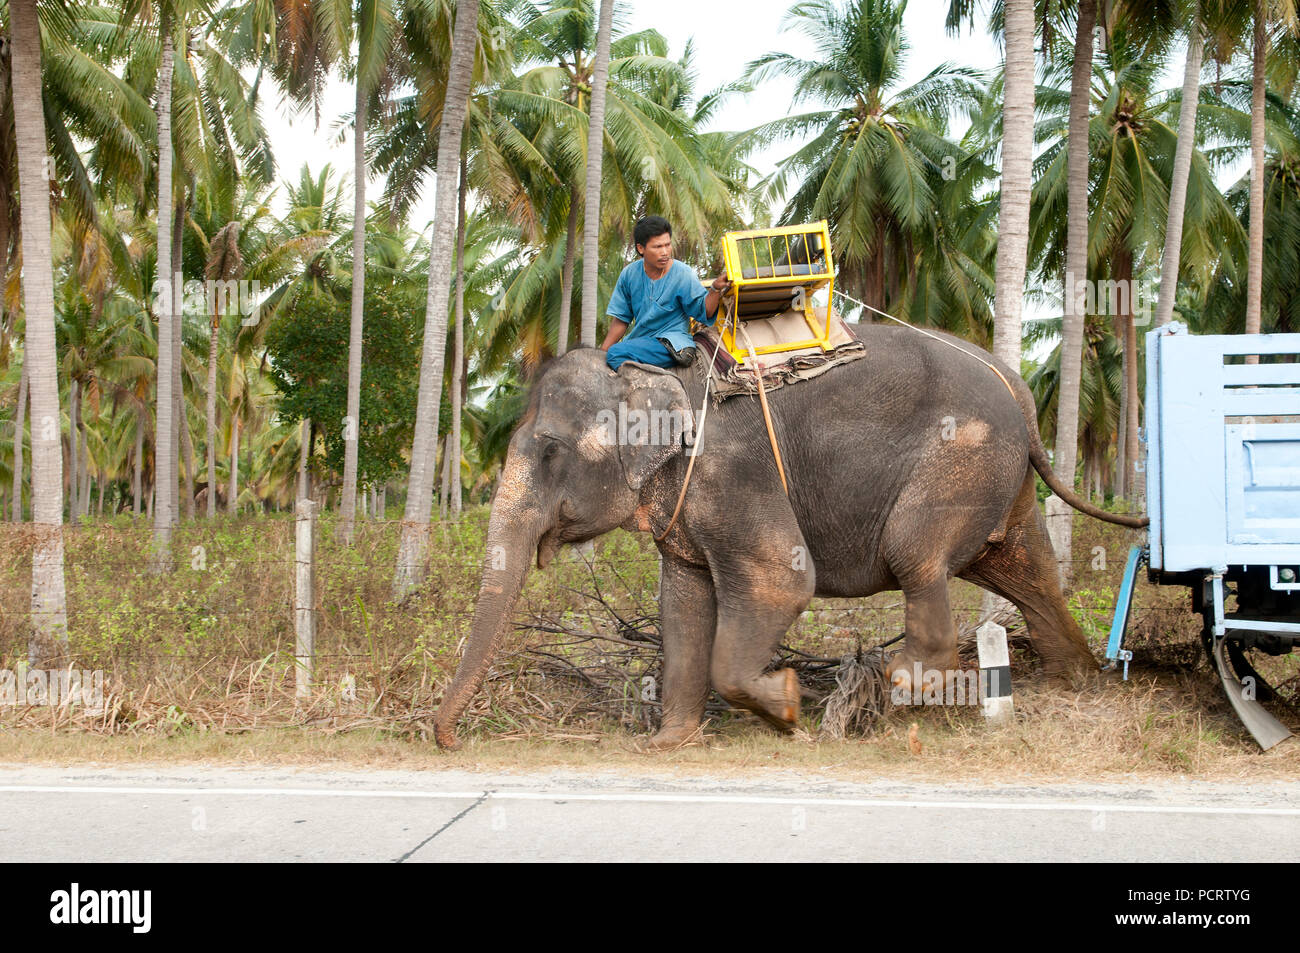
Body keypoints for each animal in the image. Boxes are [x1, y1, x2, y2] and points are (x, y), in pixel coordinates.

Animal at [431, 323, 1144, 748]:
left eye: (550, 450)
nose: (451, 739)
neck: (644, 369)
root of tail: (1016, 386)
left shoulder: (734, 474)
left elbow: (781, 581)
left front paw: (790, 705)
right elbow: (683, 603)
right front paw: (668, 744)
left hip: (959, 459)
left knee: (915, 554)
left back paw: (896, 685)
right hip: (1002, 477)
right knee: (1025, 569)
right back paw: (1077, 681)